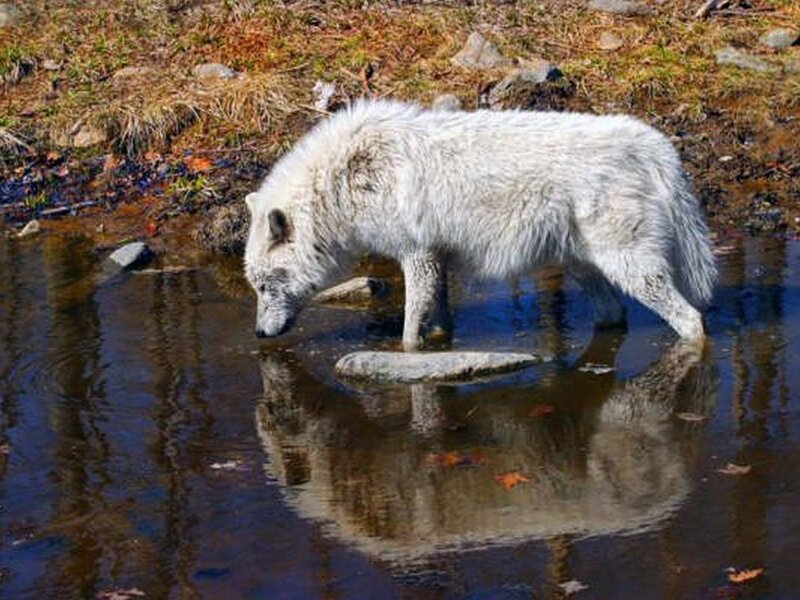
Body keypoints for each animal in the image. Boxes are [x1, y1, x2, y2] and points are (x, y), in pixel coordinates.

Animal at [244, 100, 717, 349]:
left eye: (266, 285)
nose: (259, 333)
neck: (345, 179)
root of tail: (654, 144)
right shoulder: (436, 258)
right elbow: (438, 314)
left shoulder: (416, 254)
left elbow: (410, 327)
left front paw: (407, 353)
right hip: (582, 264)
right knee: (614, 314)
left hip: (630, 268)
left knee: (691, 320)